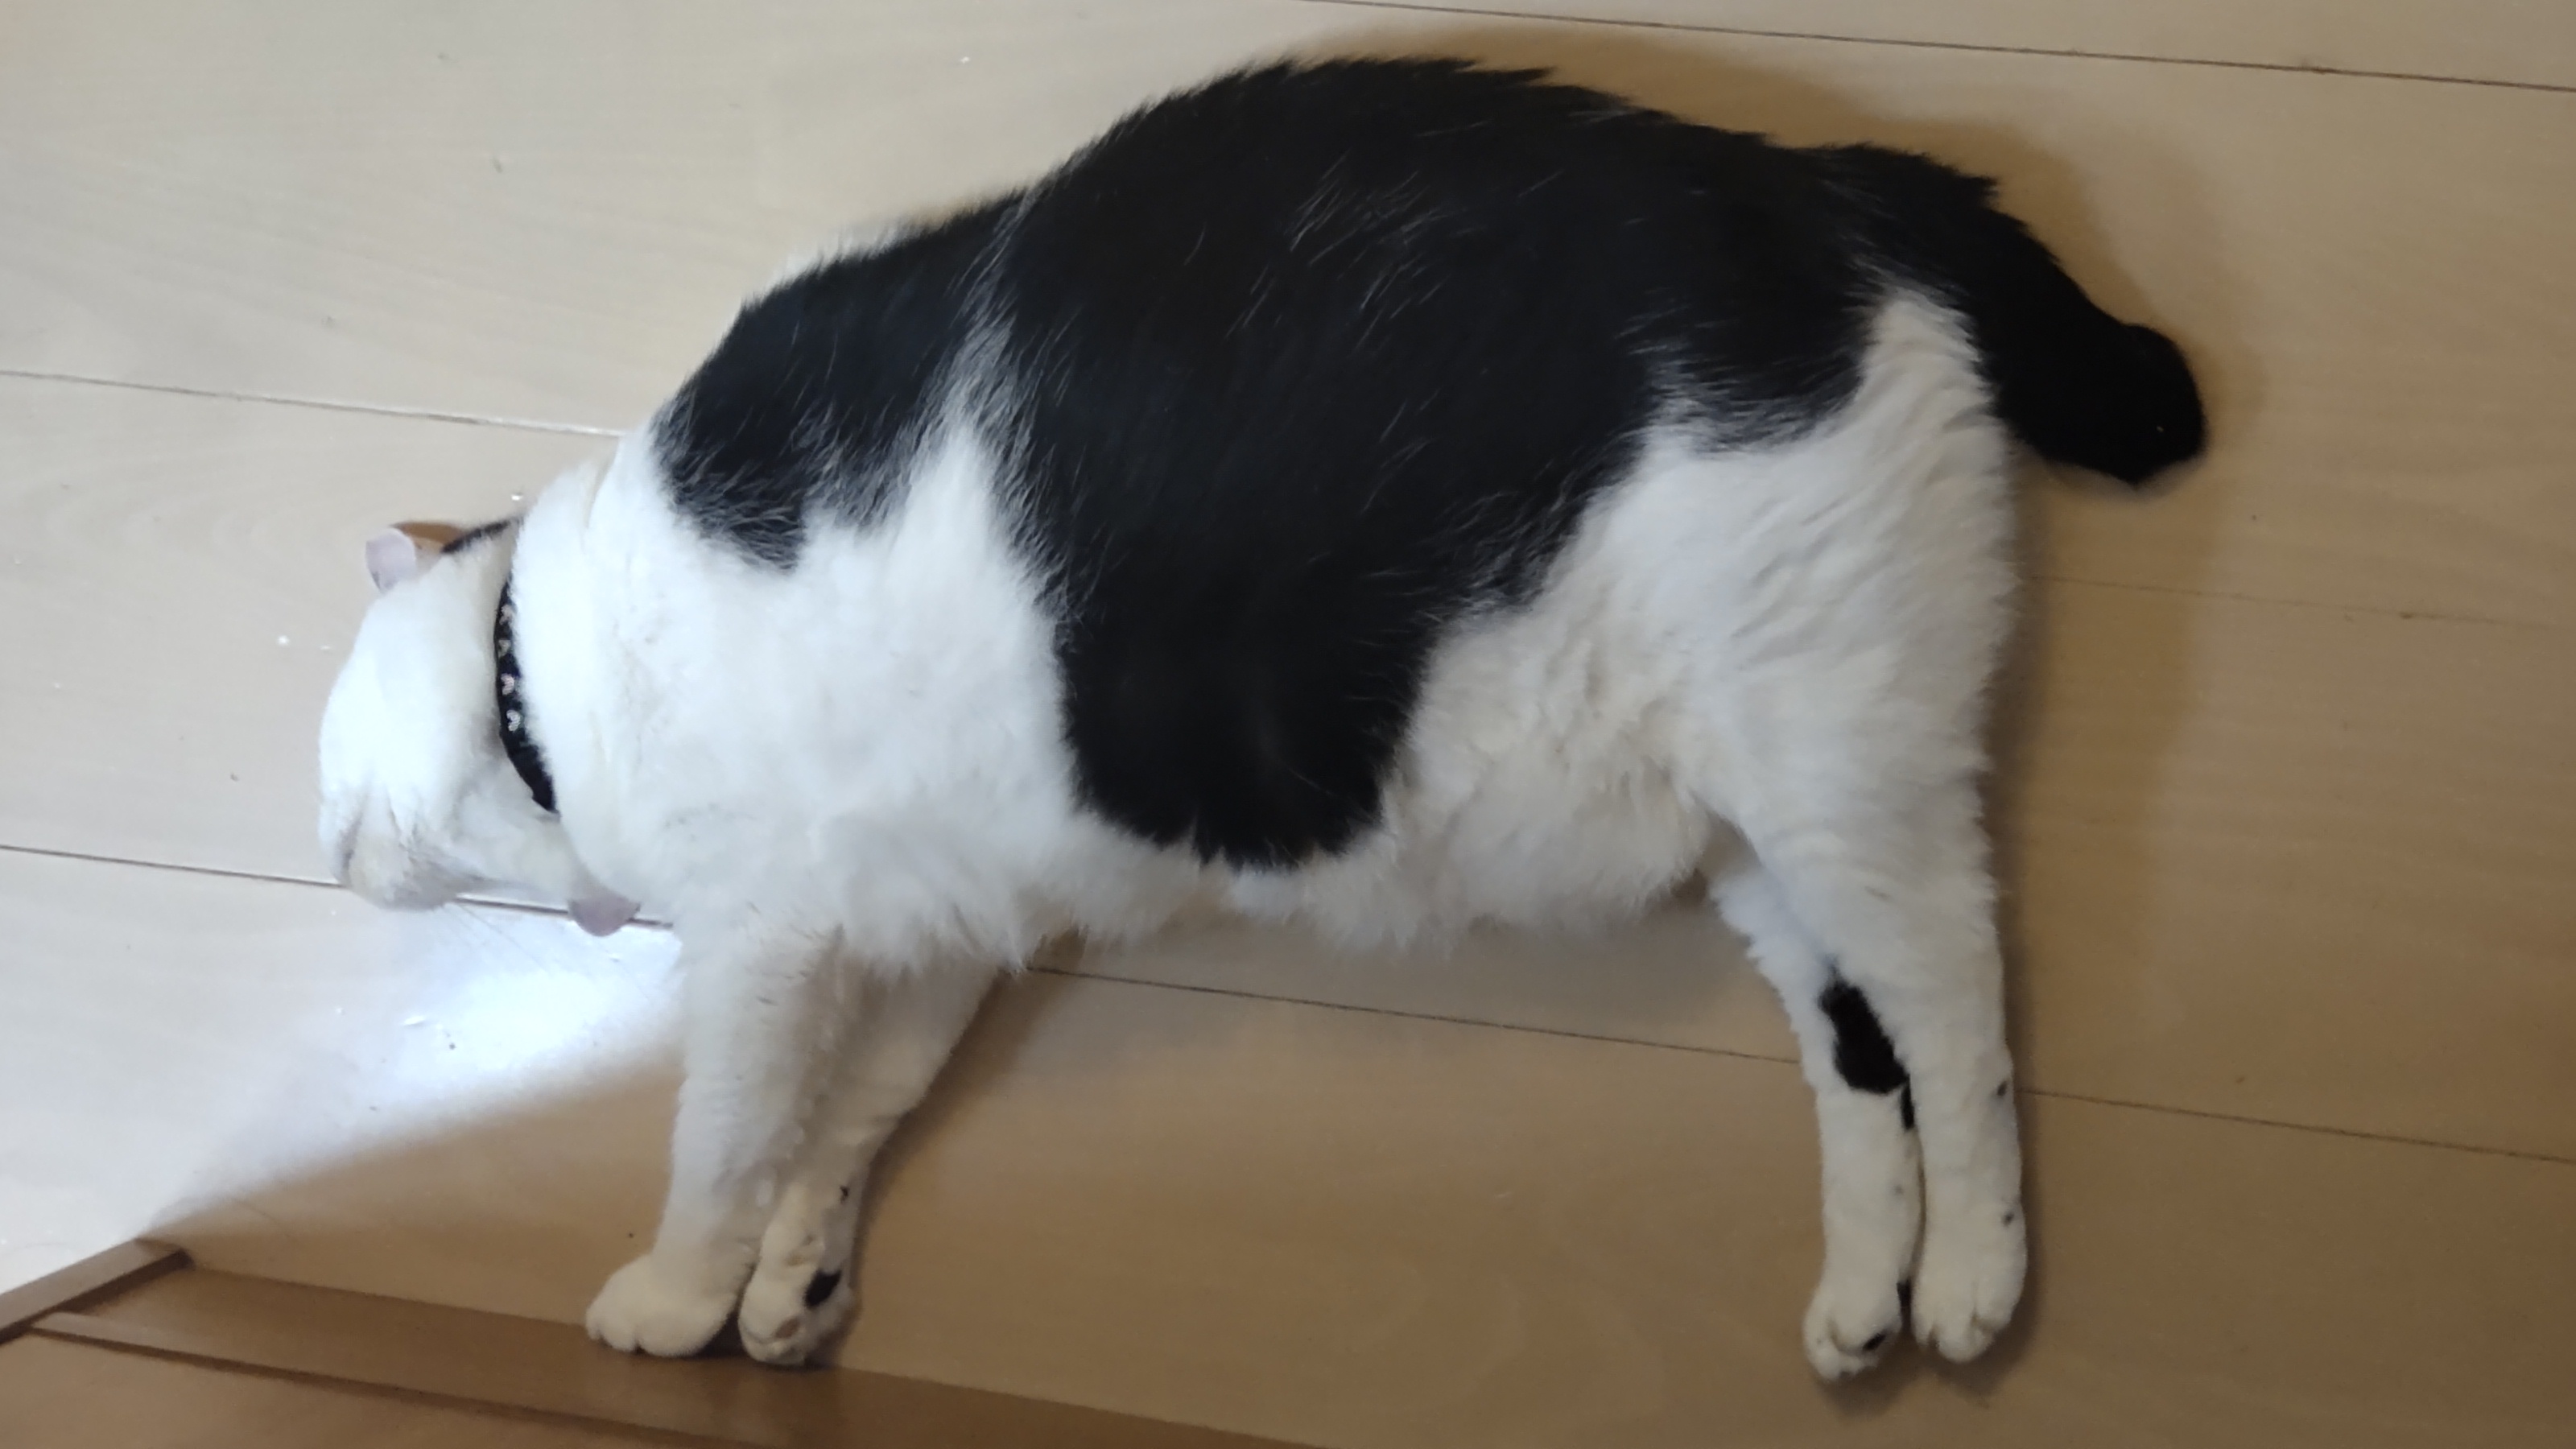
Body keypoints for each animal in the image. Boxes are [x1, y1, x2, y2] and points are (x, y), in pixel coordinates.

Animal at [318, 57, 2202, 1379]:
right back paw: (1869, 1291)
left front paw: (679, 1288)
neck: (541, 671)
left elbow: (723, 1130)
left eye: (329, 792)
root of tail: (1826, 176)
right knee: (1855, 1034)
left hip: (1837, 750)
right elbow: (866, 1104)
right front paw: (799, 1273)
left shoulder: (766, 943)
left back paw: (1975, 1276)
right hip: (1759, 816)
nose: (325, 863)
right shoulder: (928, 927)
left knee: (1954, 994)